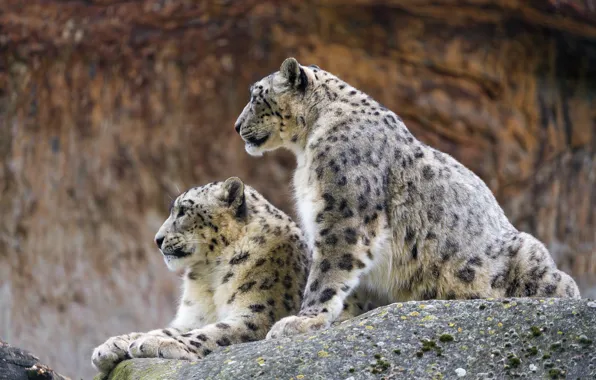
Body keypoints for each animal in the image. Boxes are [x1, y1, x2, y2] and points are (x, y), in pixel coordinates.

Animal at [92, 178, 312, 374]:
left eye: (183, 211)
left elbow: (212, 332)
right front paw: (113, 344)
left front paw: (155, 342)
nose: (157, 239)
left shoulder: (259, 313)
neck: (210, 276)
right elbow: (171, 329)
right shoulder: (194, 317)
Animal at [234, 57, 584, 338]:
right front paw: (346, 315)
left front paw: (301, 321)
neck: (306, 148)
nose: (237, 126)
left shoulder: (342, 214)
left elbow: (328, 273)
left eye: (255, 95)